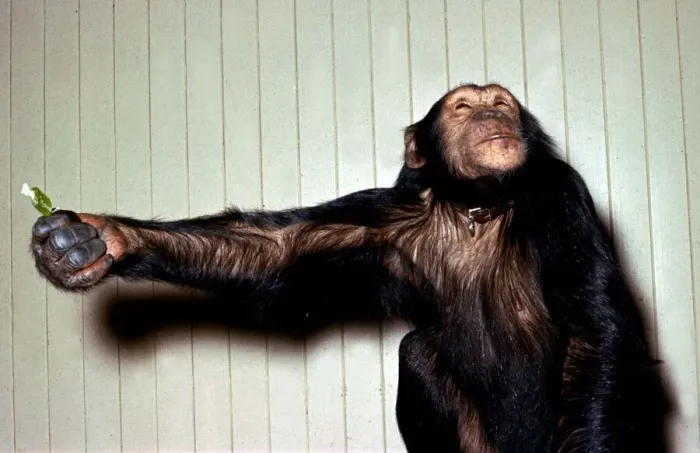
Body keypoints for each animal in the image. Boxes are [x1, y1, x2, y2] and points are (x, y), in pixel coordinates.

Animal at [30, 83, 667, 452]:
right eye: (465, 106)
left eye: (502, 104)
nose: (491, 113)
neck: (477, 206)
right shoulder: (382, 218)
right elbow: (278, 248)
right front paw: (92, 240)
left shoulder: (562, 197)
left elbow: (596, 327)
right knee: (420, 353)